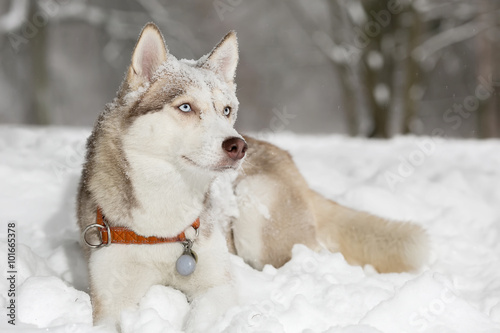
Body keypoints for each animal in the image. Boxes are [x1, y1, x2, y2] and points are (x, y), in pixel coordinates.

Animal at [77, 22, 426, 330]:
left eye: (226, 110)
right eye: (186, 107)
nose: (237, 145)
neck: (164, 223)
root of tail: (285, 158)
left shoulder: (216, 286)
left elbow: (202, 318)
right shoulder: (111, 301)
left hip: (253, 203)